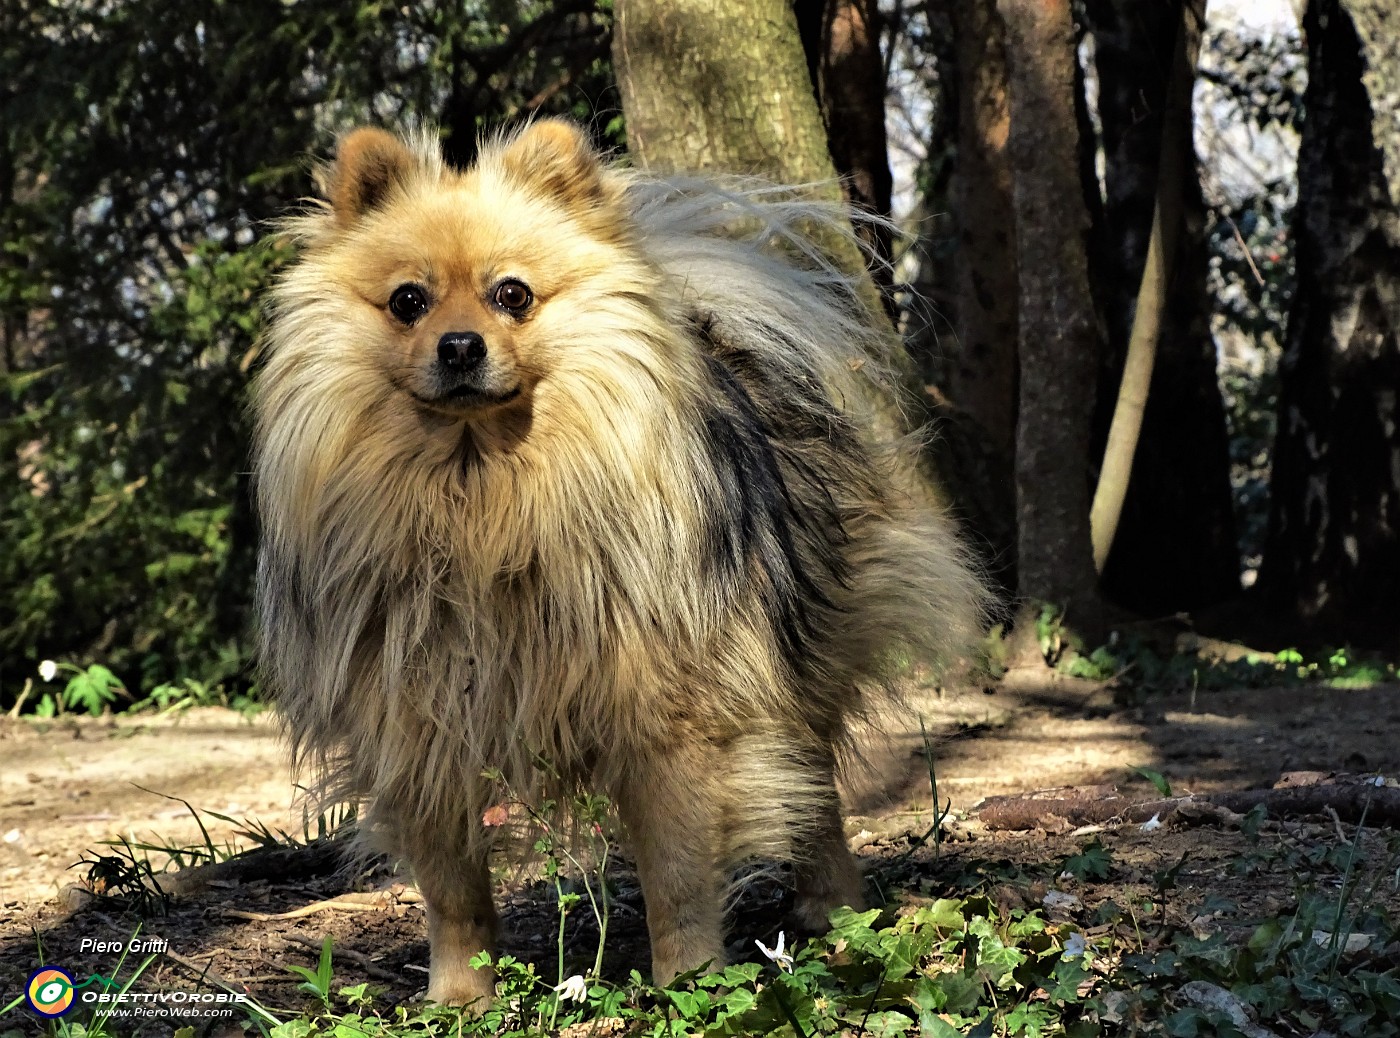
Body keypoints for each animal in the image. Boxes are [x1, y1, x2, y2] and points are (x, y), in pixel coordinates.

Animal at [257, 119, 991, 1002]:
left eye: (513, 295)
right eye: (409, 302)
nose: (460, 346)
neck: (483, 498)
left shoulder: (674, 723)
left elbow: (677, 874)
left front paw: (689, 979)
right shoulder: (421, 731)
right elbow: (454, 891)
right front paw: (461, 996)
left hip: (796, 658)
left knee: (815, 792)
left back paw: (833, 909)